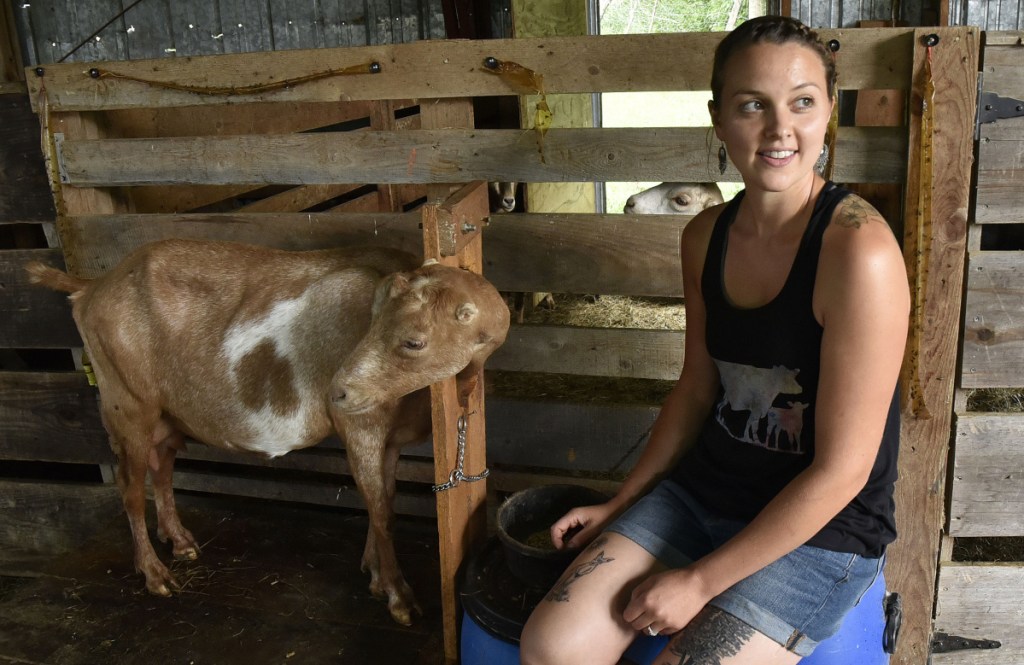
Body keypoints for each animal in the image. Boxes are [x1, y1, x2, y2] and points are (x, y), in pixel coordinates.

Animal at [28, 238, 512, 622]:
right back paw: (154, 574)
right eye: (370, 321)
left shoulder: (387, 436)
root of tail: (90, 288)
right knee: (129, 488)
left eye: (413, 341)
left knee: (161, 467)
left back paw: (180, 542)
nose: (337, 391)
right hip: (127, 403)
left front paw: (373, 572)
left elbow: (383, 499)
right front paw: (398, 596)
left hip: (165, 413)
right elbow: (381, 510)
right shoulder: (362, 426)